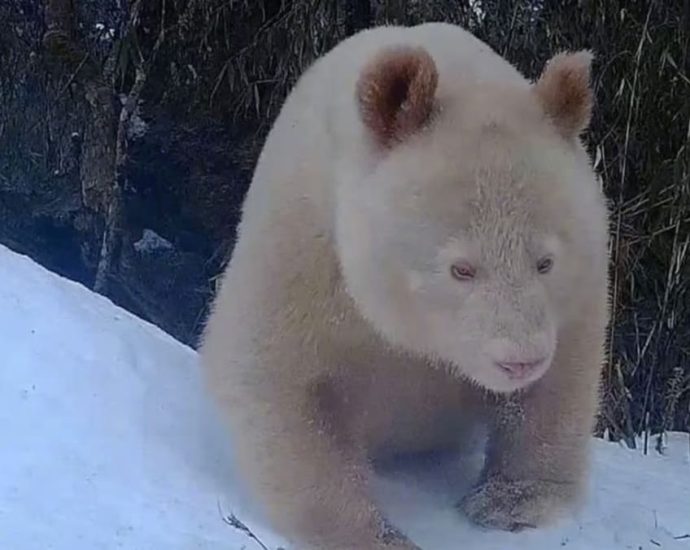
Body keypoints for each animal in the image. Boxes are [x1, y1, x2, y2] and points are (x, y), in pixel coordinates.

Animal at [199, 21, 608, 550]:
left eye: (545, 262)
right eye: (461, 269)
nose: (520, 361)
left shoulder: (579, 284)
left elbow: (561, 379)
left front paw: (511, 502)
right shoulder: (304, 247)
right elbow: (275, 377)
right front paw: (374, 535)